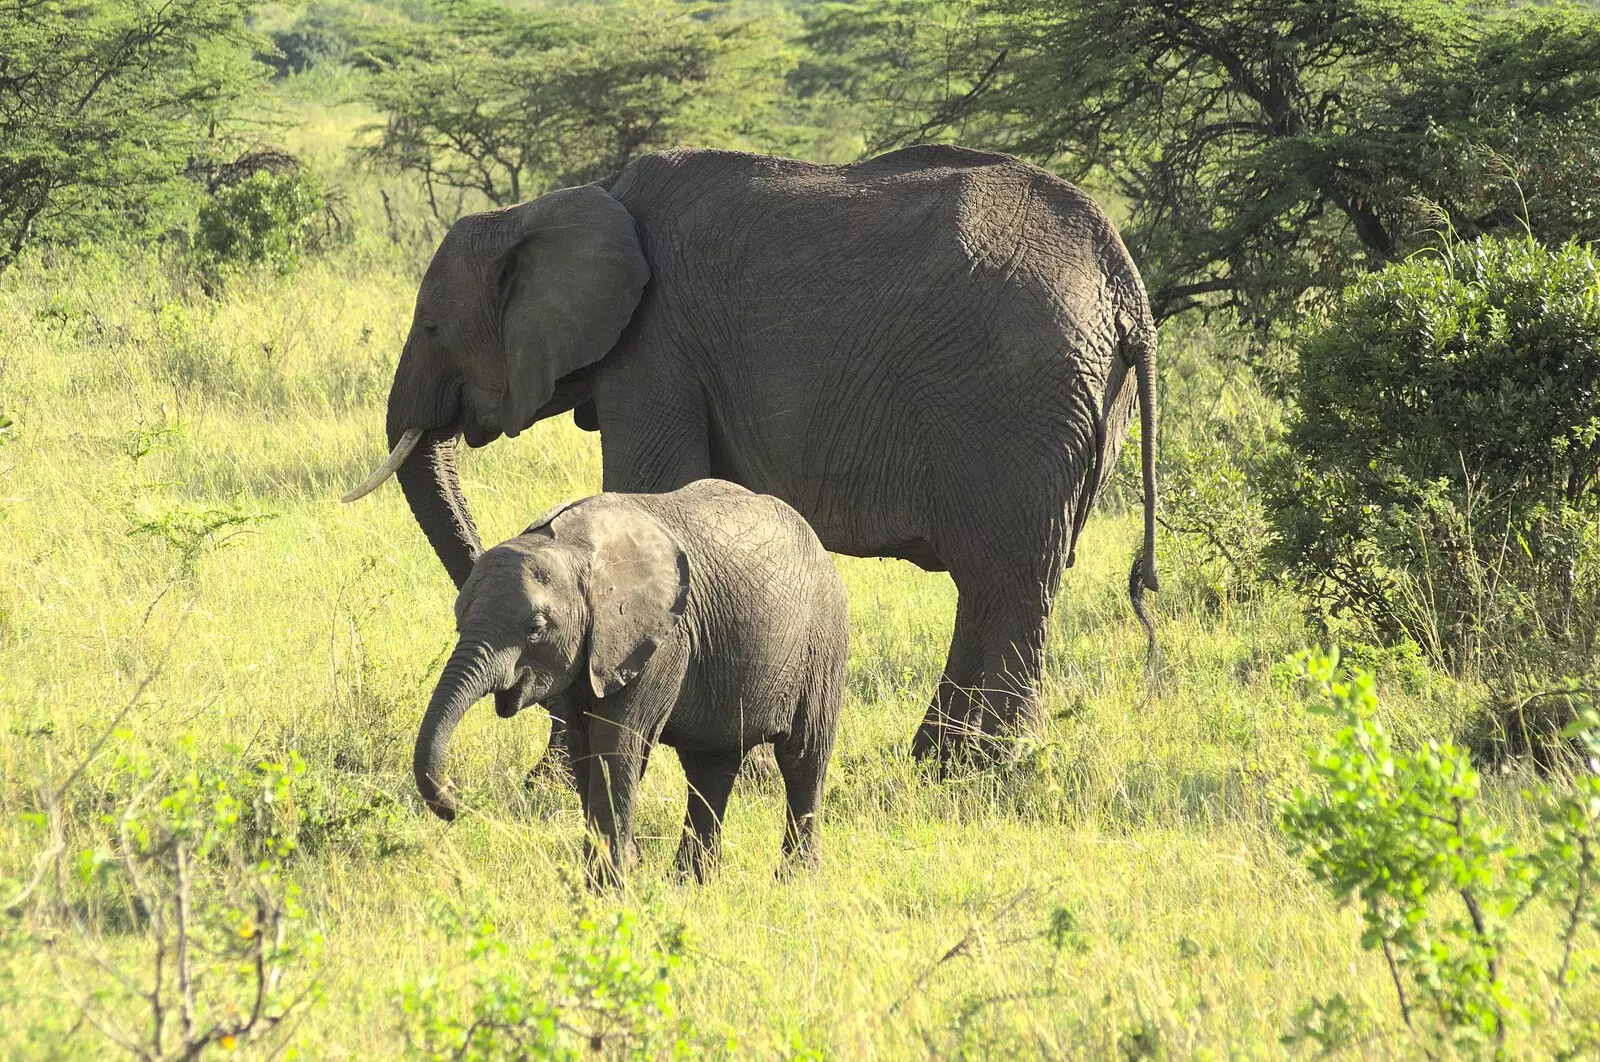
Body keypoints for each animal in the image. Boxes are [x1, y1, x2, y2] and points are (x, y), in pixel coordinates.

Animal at [344, 147, 1158, 764]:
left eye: (430, 327)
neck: (555, 206)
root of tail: (1127, 287)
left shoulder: (656, 347)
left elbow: (648, 485)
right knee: (994, 582)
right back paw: (939, 762)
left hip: (1019, 398)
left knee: (1010, 578)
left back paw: (983, 770)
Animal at [412, 479, 851, 876]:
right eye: (459, 621)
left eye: (535, 628)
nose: (452, 803)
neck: (573, 549)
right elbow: (584, 745)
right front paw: (621, 871)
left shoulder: (660, 640)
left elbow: (617, 743)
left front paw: (610, 886)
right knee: (711, 766)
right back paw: (691, 883)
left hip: (823, 640)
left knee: (802, 757)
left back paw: (796, 880)